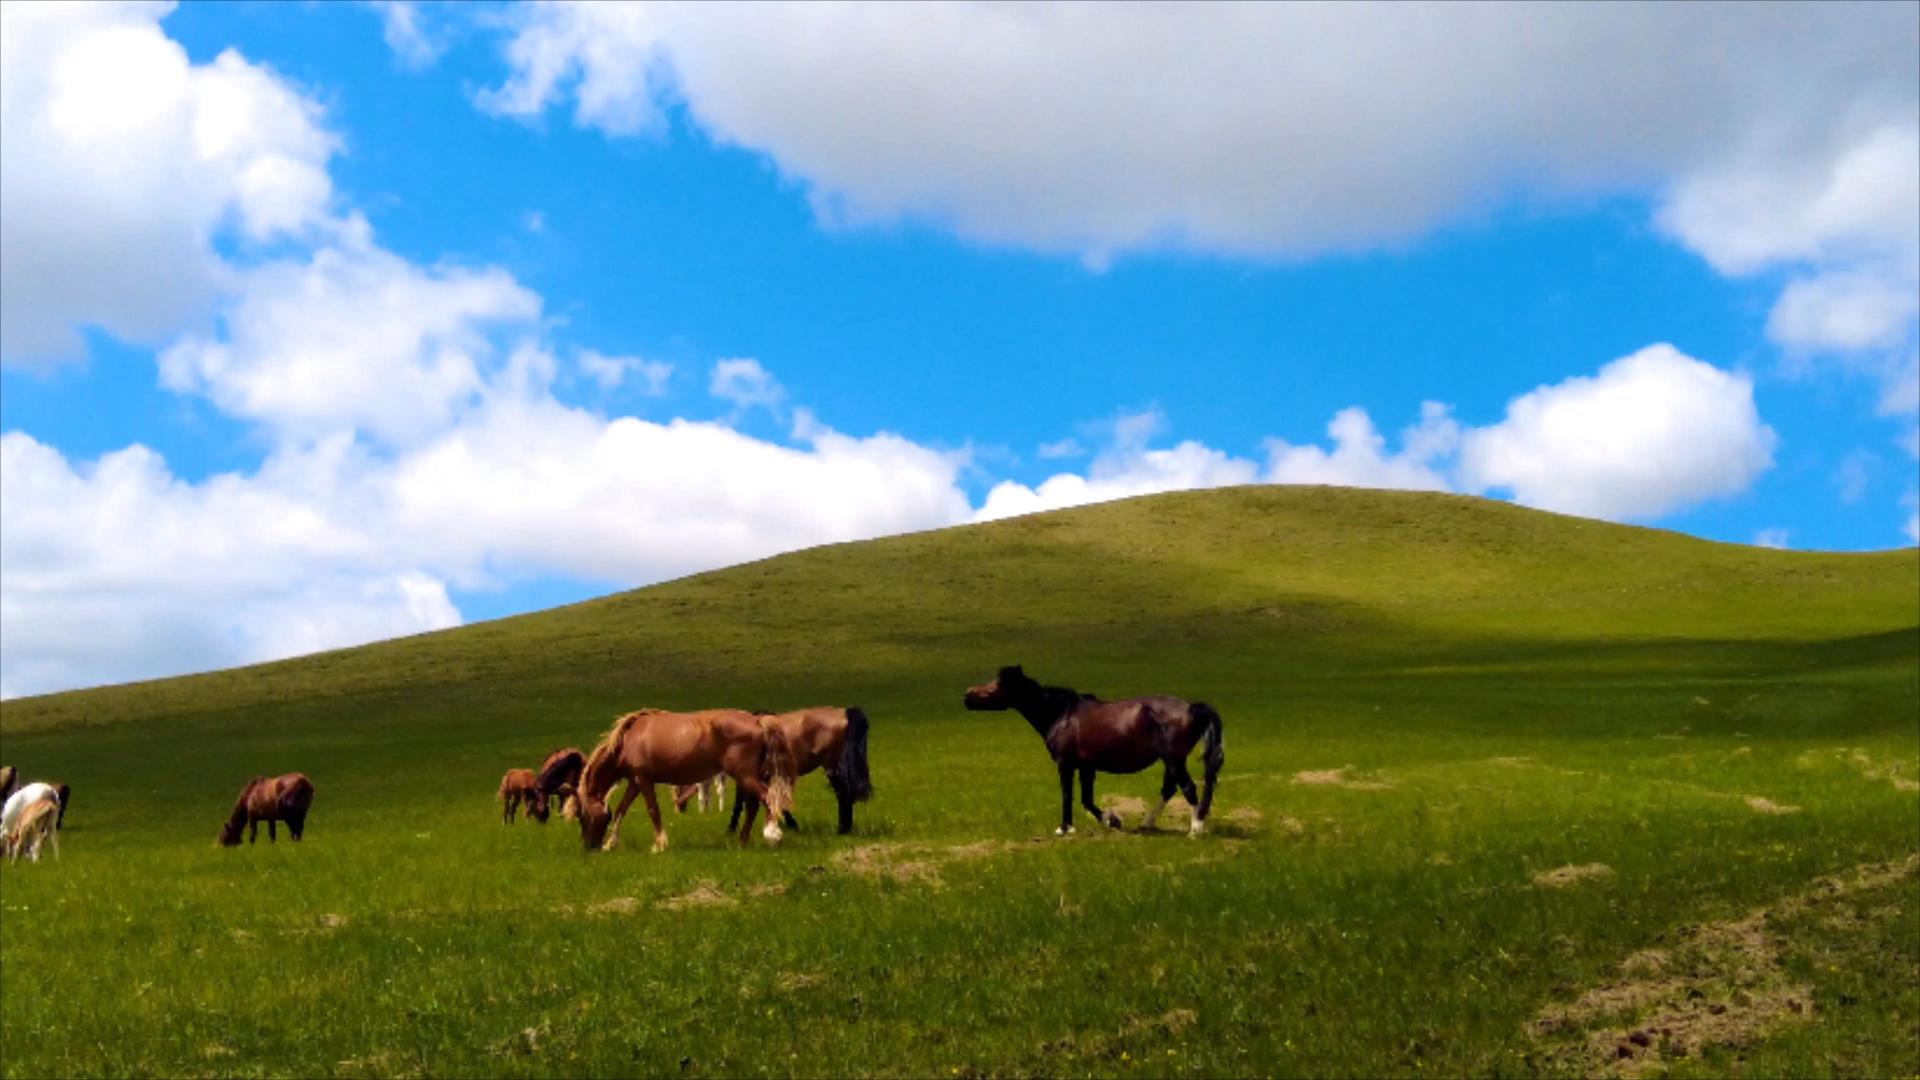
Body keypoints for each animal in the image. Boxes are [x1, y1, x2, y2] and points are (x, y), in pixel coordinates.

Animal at [568, 707, 794, 849]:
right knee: (753, 806)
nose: (588, 846)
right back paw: (742, 842)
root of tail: (757, 720)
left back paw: (772, 835)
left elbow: (653, 810)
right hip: (747, 777)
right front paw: (611, 843)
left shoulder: (643, 780)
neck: (628, 739)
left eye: (581, 814)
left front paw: (659, 845)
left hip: (744, 775)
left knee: (767, 798)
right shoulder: (634, 783)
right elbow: (621, 810)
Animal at [725, 707, 879, 834]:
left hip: (832, 767)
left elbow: (740, 802)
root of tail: (845, 712)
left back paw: (842, 829)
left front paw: (730, 829)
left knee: (843, 794)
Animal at [967, 661, 1221, 837]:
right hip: (1171, 761)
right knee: (1169, 789)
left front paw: (1064, 828)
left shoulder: (1066, 764)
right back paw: (1147, 824)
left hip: (1174, 760)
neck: (1062, 714)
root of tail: (1193, 707)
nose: (967, 696)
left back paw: (1195, 829)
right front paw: (1112, 820)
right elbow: (1086, 799)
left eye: (997, 685)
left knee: (1188, 788)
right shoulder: (1086, 767)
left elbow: (1068, 795)